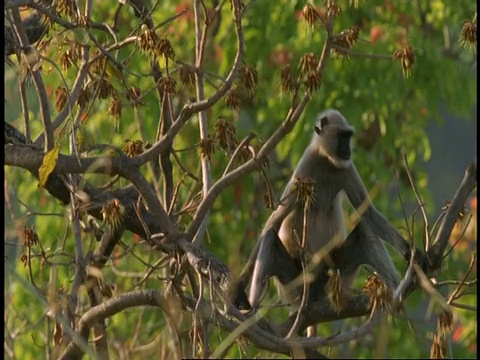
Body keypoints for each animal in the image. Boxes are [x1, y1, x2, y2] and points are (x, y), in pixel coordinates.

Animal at [234, 109, 418, 312]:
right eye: (342, 136)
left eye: (348, 136)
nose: (347, 149)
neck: (326, 159)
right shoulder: (306, 165)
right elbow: (276, 218)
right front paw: (239, 287)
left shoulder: (347, 166)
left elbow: (369, 213)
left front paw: (411, 253)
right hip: (295, 284)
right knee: (269, 237)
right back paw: (251, 306)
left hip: (334, 277)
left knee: (365, 231)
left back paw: (396, 292)